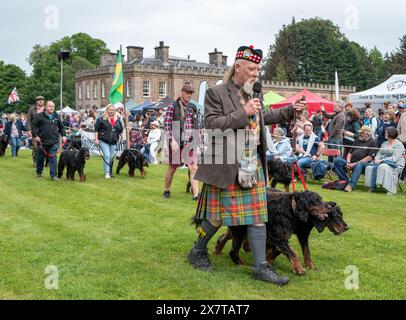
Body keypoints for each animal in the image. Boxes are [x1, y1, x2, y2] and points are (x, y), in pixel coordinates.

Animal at [213, 190, 348, 276]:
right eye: (316, 200)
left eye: (321, 199)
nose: (347, 227)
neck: (292, 208)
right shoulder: (277, 237)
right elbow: (293, 253)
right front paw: (298, 269)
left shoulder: (289, 237)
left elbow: (303, 252)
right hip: (240, 231)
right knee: (233, 251)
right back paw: (242, 264)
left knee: (224, 238)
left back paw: (218, 251)